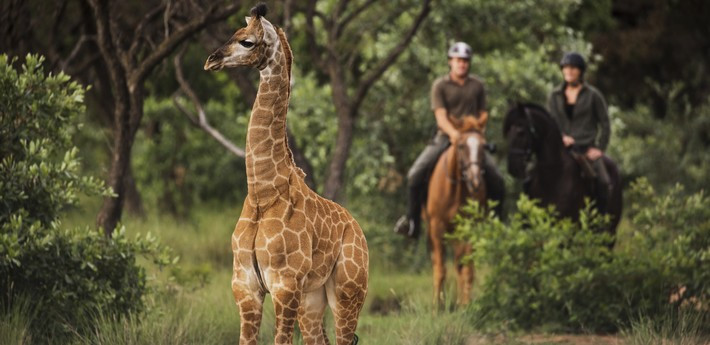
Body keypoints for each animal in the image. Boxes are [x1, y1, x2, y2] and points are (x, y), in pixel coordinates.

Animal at [204, 3, 370, 344]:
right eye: (234, 32)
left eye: (247, 42)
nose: (211, 60)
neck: (262, 192)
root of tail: (360, 232)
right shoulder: (245, 286)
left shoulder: (285, 285)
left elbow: (281, 340)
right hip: (313, 297)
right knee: (318, 338)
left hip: (347, 292)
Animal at [428, 114, 490, 306]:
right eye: (461, 145)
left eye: (484, 146)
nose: (475, 182)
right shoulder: (437, 227)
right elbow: (440, 270)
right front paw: (436, 307)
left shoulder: (470, 228)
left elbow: (467, 271)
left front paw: (466, 306)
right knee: (439, 264)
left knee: (459, 265)